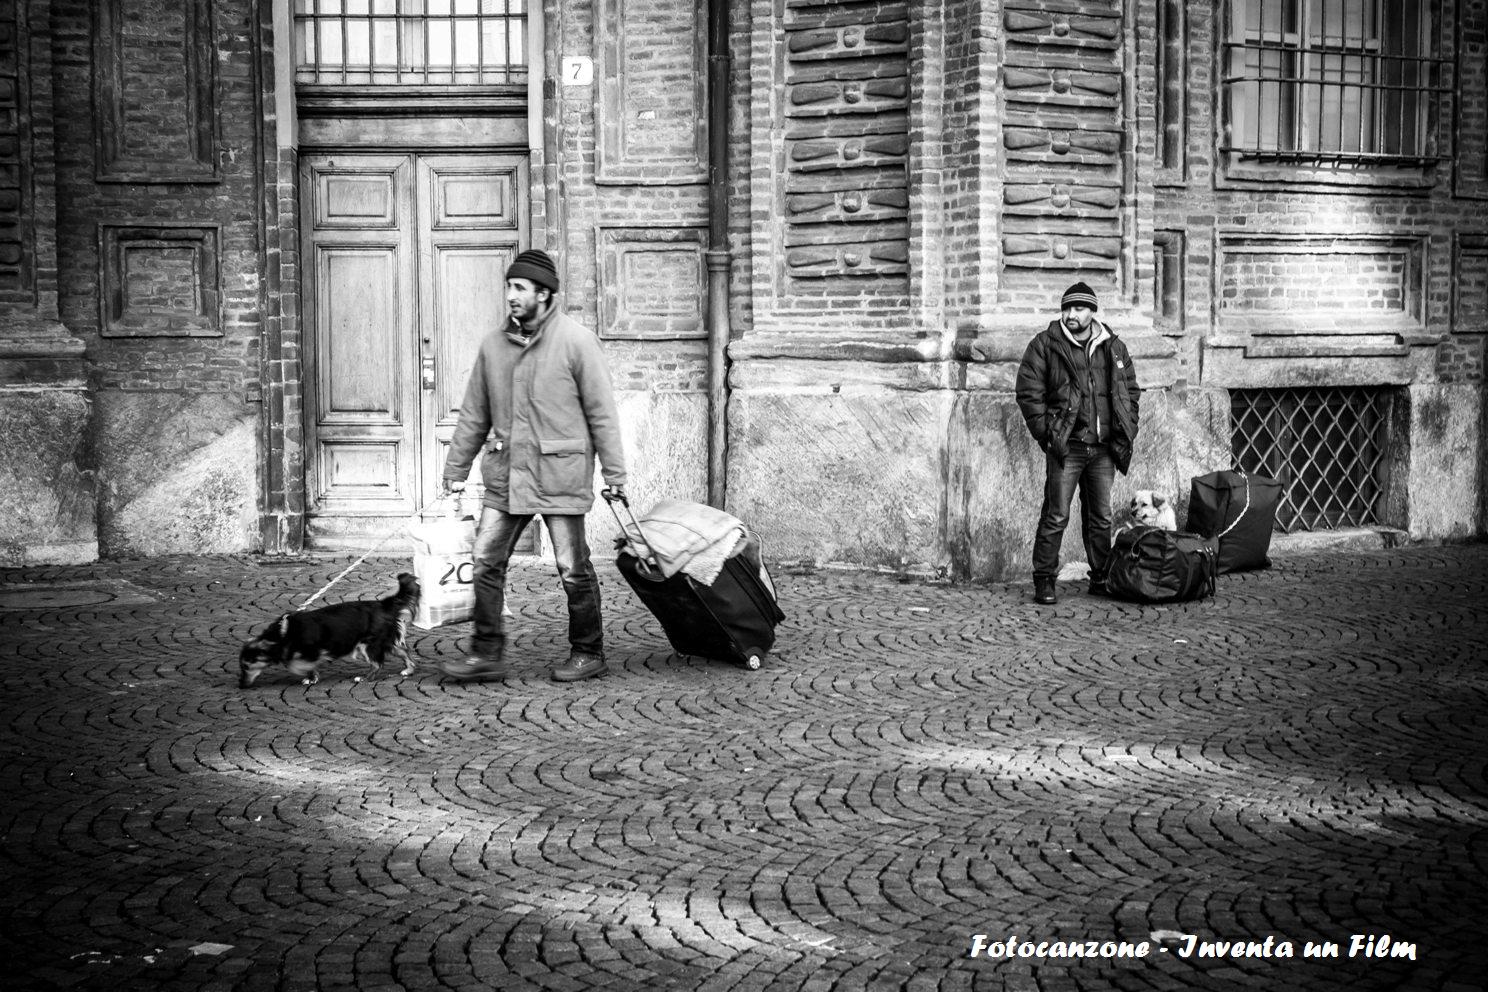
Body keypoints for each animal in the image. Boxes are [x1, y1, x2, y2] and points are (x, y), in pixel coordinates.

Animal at [239, 574, 422, 690]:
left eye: (247, 666)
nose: (240, 685)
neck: (284, 633)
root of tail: (383, 604)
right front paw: (311, 677)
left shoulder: (312, 651)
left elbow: (295, 664)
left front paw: (308, 675)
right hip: (386, 642)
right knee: (405, 652)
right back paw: (408, 670)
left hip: (368, 645)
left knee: (378, 664)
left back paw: (364, 678)